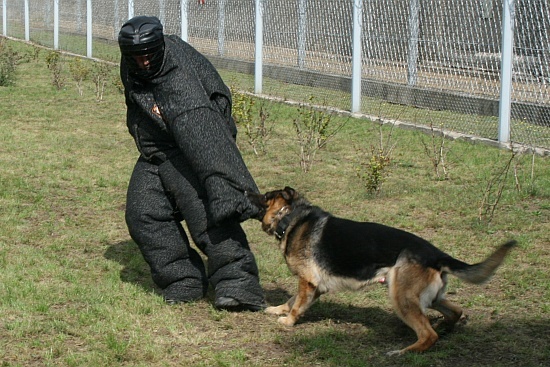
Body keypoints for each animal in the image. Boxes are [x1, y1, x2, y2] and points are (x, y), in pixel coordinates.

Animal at [248, 188, 520, 356]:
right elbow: (291, 299)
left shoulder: (308, 282)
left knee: (428, 334)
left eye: (266, 195)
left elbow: (296, 303)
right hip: (429, 297)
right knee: (455, 312)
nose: (245, 191)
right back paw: (445, 328)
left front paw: (288, 321)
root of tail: (435, 254)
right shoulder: (314, 286)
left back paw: (404, 352)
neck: (291, 217)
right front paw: (277, 310)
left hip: (401, 297)